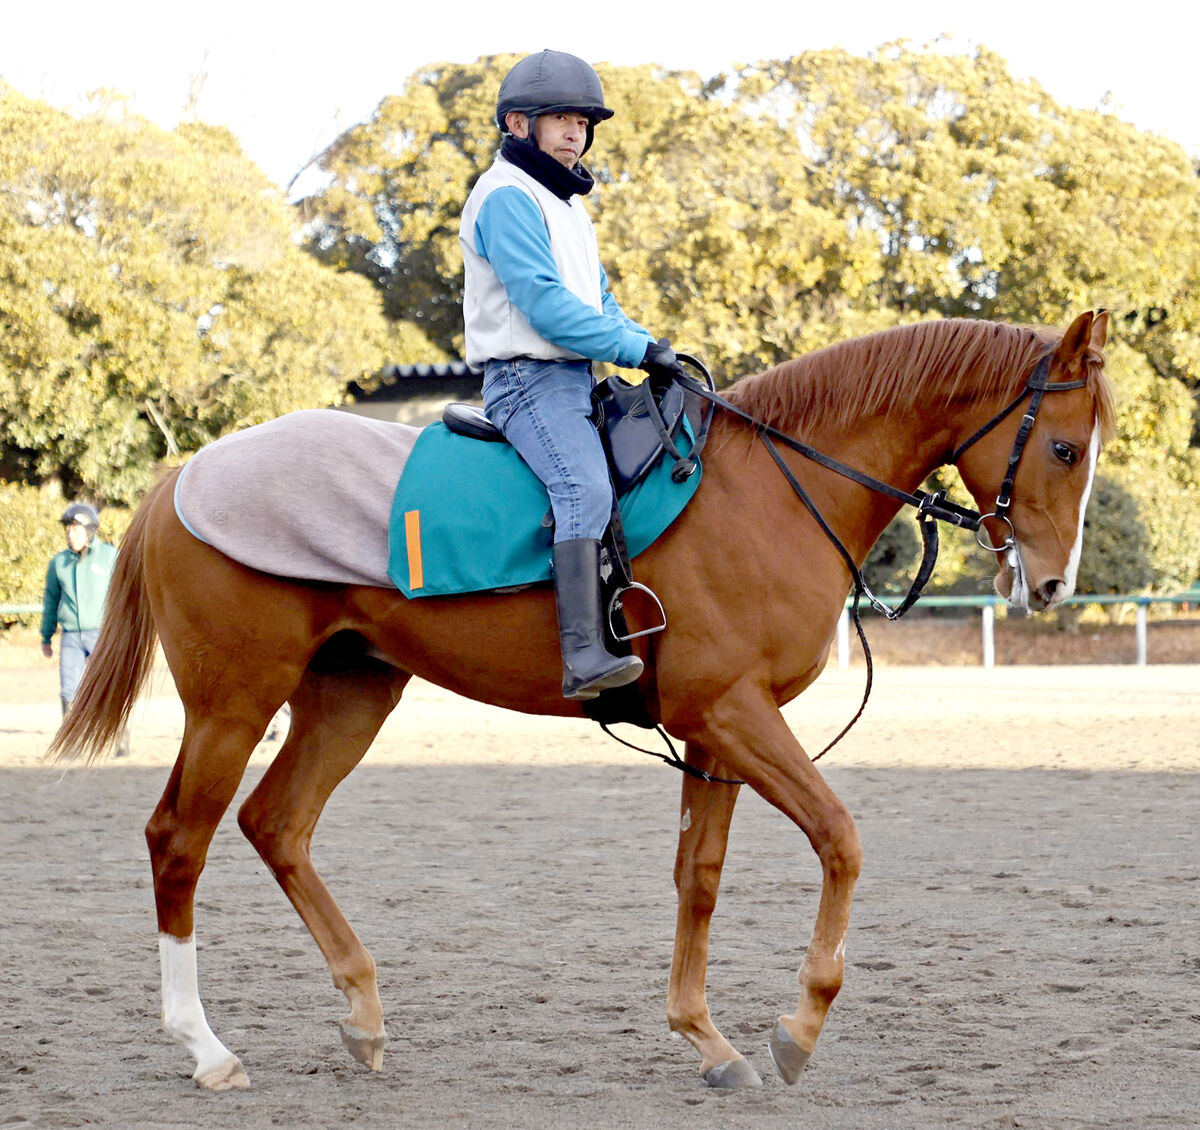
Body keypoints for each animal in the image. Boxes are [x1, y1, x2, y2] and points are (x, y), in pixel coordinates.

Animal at [49, 309, 1113, 1089]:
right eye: (1065, 449)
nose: (1055, 584)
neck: (770, 491)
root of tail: (190, 472)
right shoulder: (735, 715)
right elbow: (841, 840)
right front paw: (798, 1026)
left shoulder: (715, 734)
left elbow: (700, 878)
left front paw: (706, 1038)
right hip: (233, 705)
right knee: (179, 841)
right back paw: (206, 1048)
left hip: (351, 696)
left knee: (277, 824)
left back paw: (363, 1014)